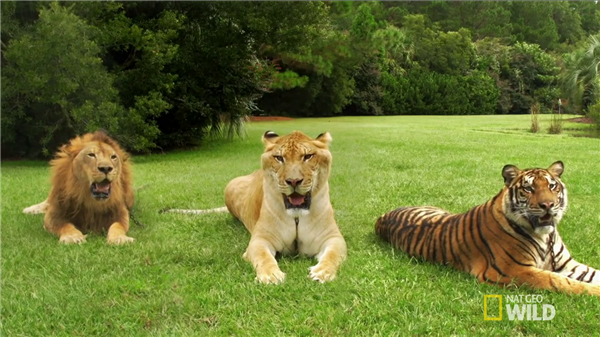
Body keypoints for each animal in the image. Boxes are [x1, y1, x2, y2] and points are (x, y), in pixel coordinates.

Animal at [162, 130, 346, 282]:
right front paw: (271, 275)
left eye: (307, 156)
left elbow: (332, 255)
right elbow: (263, 256)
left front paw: (322, 272)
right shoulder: (260, 239)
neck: (296, 216)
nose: (293, 181)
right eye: (279, 158)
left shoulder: (333, 238)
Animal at [376, 160, 600, 294]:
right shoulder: (514, 270)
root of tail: (382, 216)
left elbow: (592, 274)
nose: (548, 205)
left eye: (552, 186)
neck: (545, 236)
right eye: (528, 188)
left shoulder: (566, 264)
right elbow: (560, 282)